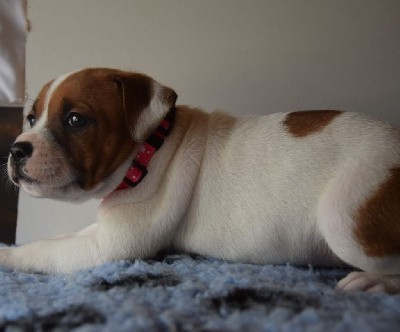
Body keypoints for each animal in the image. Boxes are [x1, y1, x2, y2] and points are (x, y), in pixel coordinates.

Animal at [3, 68, 400, 294]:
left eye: (75, 120)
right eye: (32, 118)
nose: (16, 149)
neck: (150, 150)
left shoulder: (110, 246)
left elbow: (43, 251)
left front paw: (8, 254)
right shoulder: (102, 229)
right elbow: (61, 237)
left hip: (344, 216)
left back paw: (373, 281)